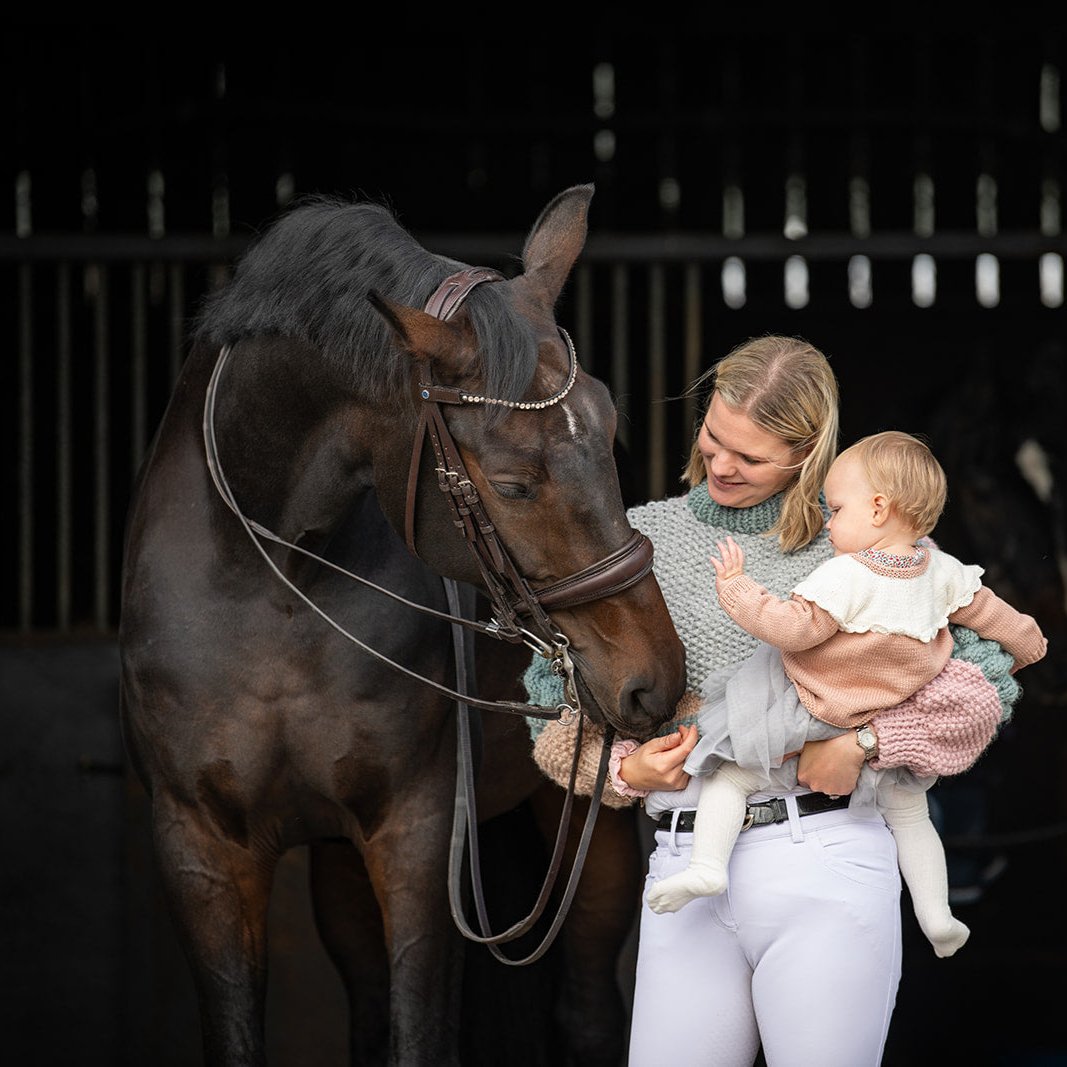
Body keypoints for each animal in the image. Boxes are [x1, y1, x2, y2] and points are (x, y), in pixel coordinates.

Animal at [116, 187, 682, 1062]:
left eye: (611, 428)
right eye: (512, 484)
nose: (653, 680)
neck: (273, 580)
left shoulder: (416, 834)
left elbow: (420, 1030)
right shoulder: (198, 845)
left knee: (586, 1007)